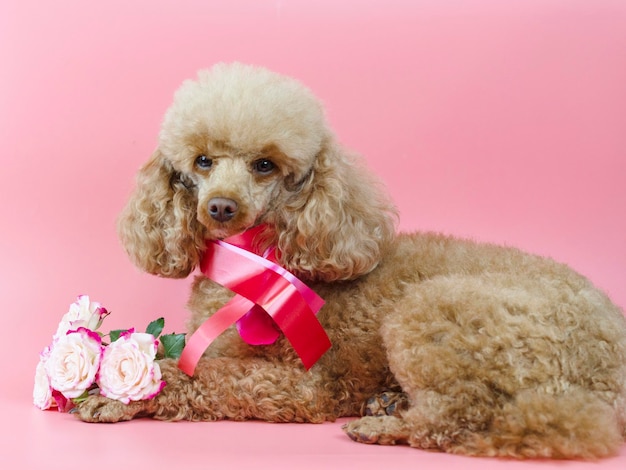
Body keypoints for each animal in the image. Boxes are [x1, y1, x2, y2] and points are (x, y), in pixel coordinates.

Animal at [77, 62, 624, 458]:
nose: (221, 207)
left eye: (265, 165)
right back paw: (388, 401)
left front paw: (117, 393)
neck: (257, 256)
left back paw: (382, 427)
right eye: (203, 161)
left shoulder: (300, 385)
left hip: (430, 312)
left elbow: (198, 376)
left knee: (463, 421)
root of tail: (611, 378)